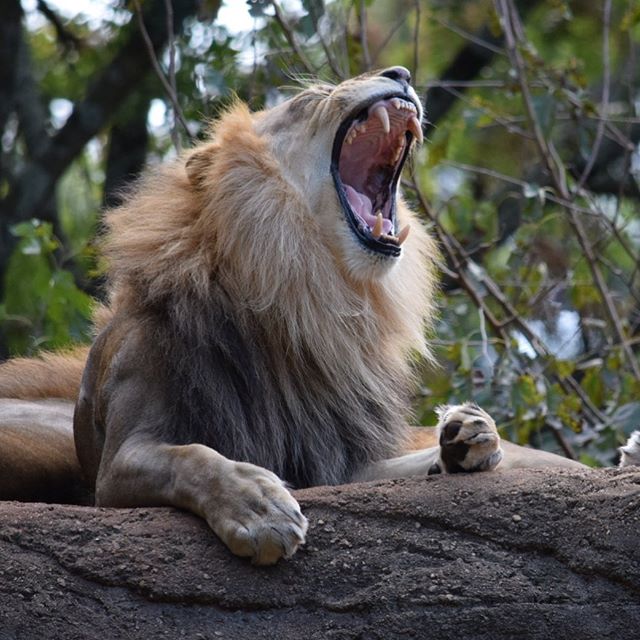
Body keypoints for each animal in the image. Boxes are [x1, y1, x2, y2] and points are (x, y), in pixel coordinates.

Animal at [1, 67, 640, 564]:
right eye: (310, 99)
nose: (401, 74)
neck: (299, 295)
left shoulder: (332, 464)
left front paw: (466, 439)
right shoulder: (118, 464)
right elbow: (193, 458)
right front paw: (259, 508)